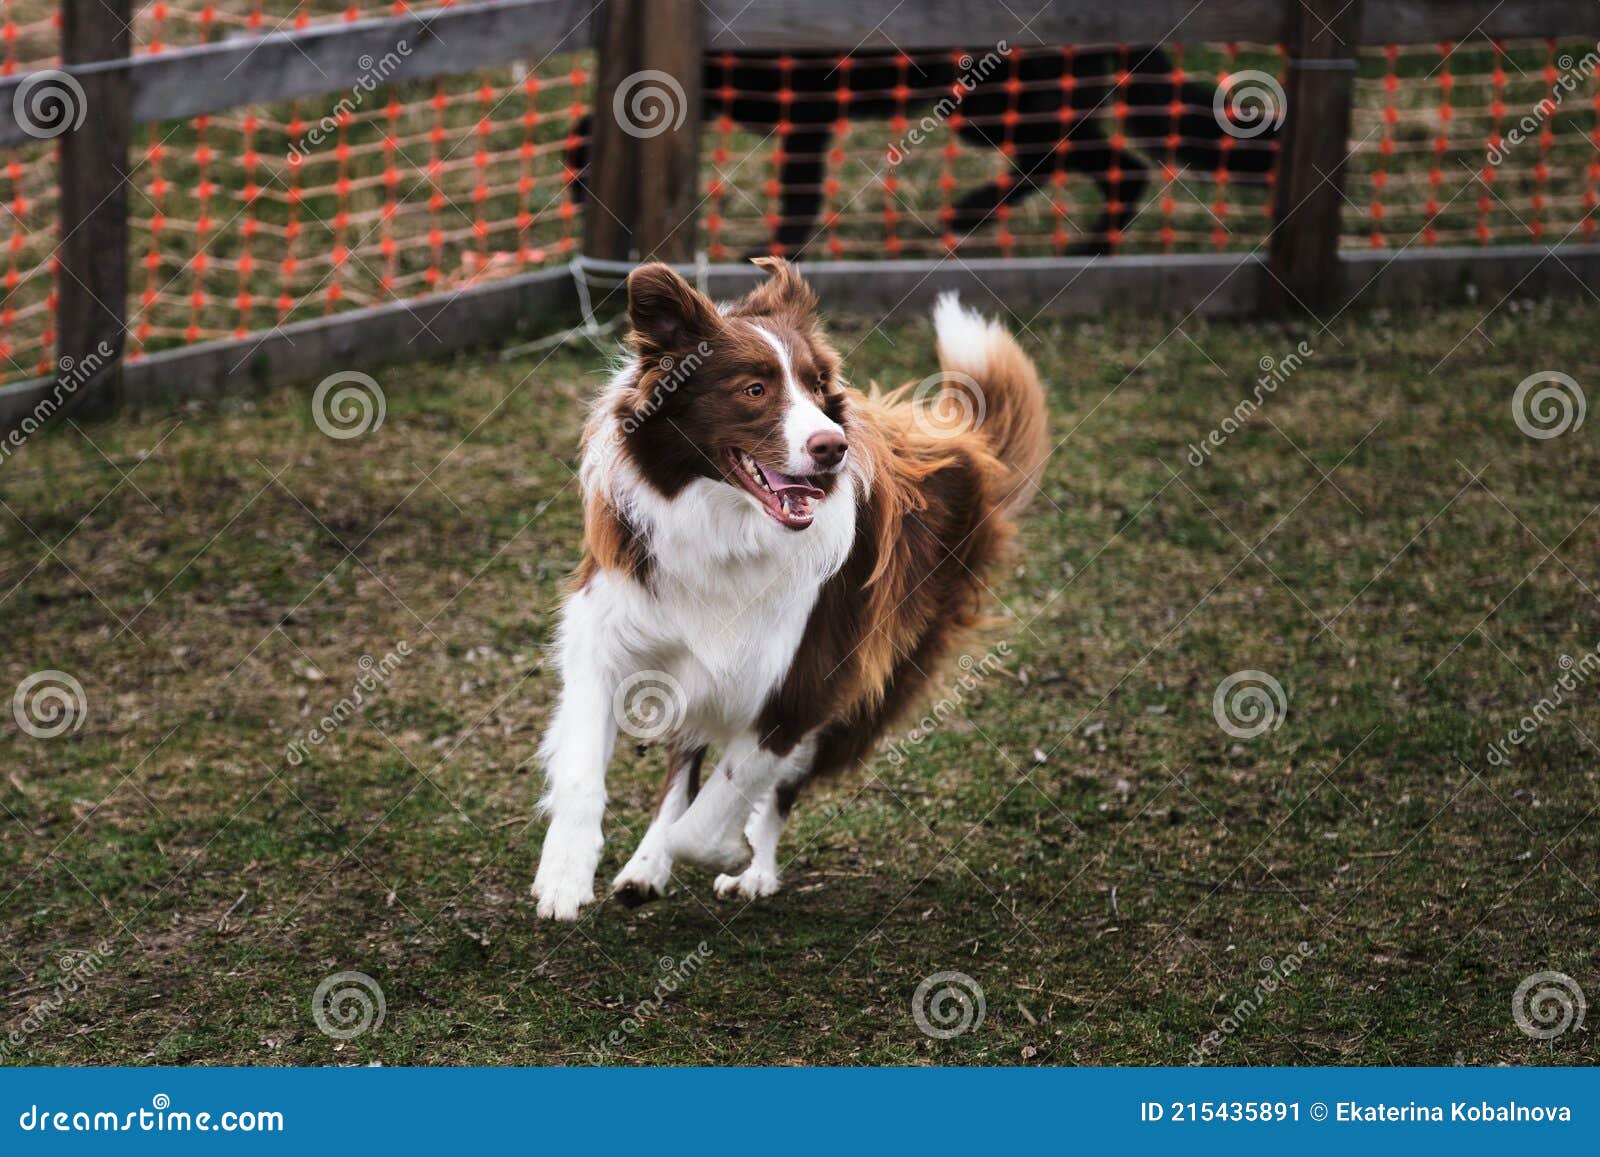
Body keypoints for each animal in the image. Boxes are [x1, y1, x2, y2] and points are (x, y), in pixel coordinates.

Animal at [534, 257, 1049, 921]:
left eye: (816, 383)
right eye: (754, 389)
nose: (834, 447)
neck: (727, 528)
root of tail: (968, 447)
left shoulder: (807, 679)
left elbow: (718, 809)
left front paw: (732, 850)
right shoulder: (608, 634)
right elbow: (583, 771)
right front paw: (564, 874)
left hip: (875, 681)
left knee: (776, 788)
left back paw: (752, 868)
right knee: (684, 762)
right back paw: (647, 866)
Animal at [569, 48, 1280, 256]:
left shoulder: (808, 108)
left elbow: (798, 192)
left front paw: (777, 257)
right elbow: (595, 117)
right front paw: (580, 177)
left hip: (1000, 105)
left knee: (1096, 162)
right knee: (1105, 163)